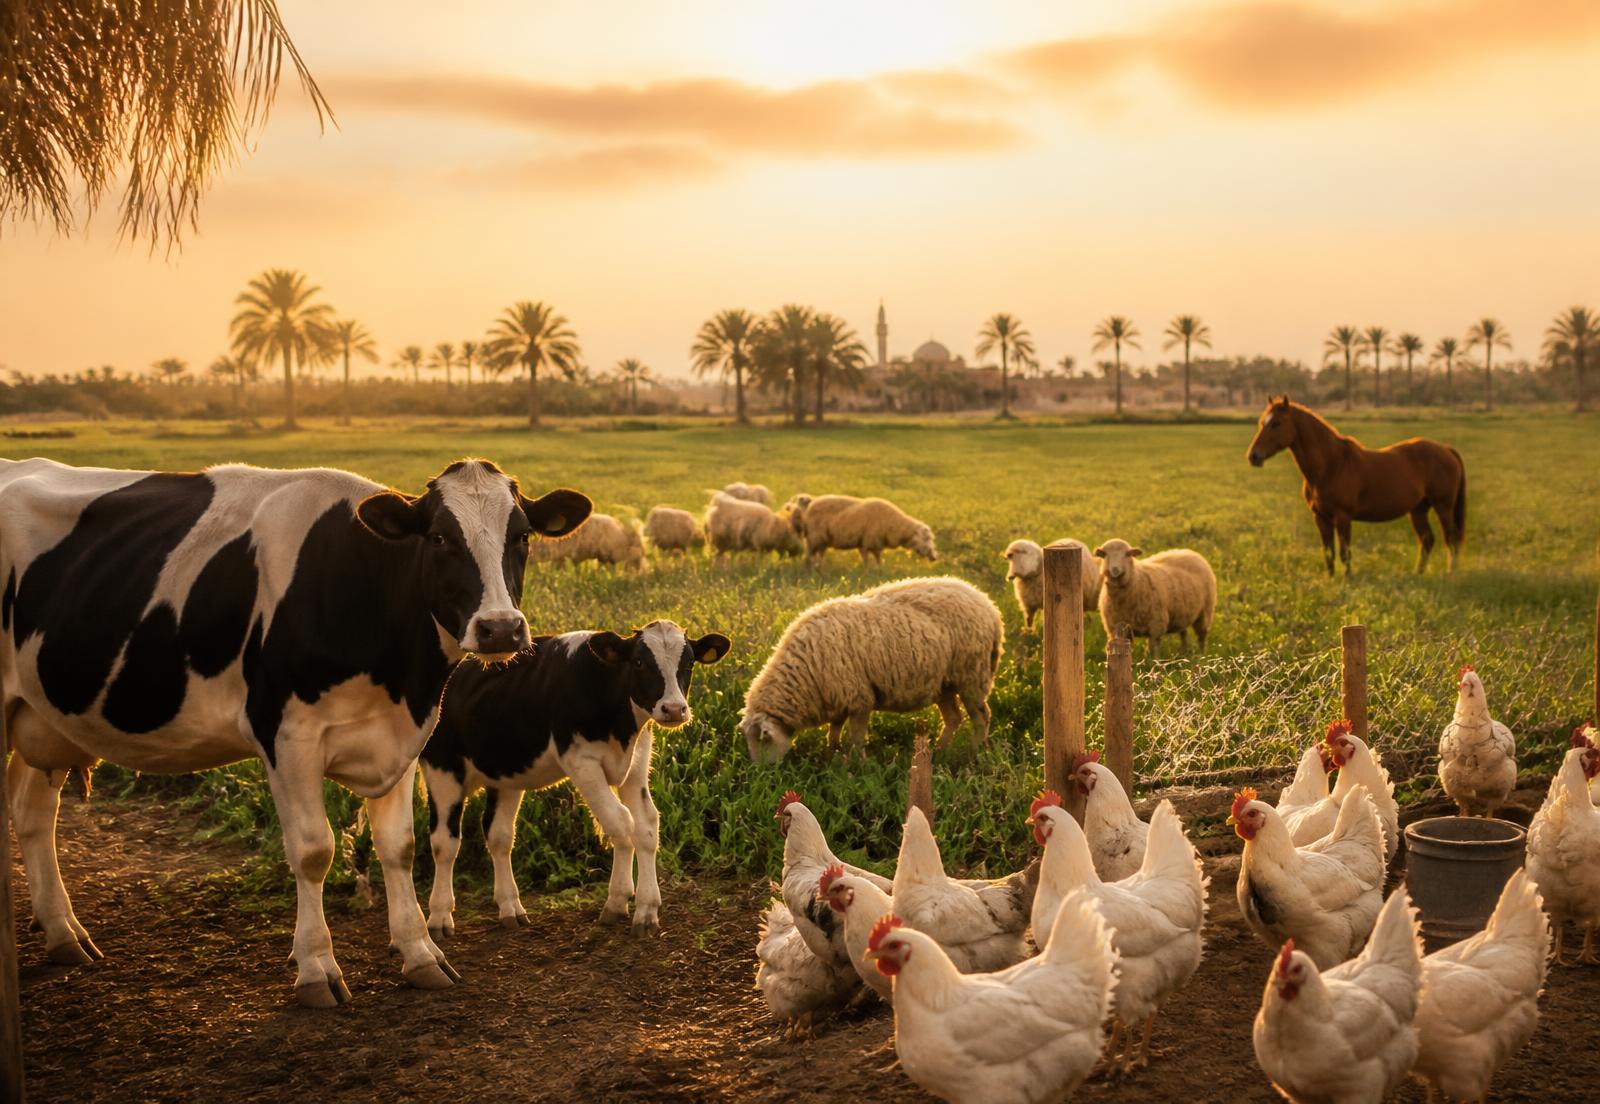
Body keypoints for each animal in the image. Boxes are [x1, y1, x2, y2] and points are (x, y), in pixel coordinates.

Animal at [0, 456, 590, 1007]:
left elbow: (398, 846)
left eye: (522, 536)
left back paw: (64, 934)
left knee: (33, 816)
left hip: (40, 718)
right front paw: (316, 970)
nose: (500, 629)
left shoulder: (400, 734)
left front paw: (420, 954)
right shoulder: (285, 736)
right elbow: (312, 851)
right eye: (441, 537)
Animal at [421, 620, 730, 937]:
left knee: (499, 835)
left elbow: (645, 826)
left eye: (689, 662)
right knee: (444, 843)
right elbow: (620, 822)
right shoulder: (582, 762)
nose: (674, 708)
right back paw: (439, 917)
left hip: (505, 774)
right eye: (639, 662)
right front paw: (618, 901)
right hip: (441, 768)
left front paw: (646, 909)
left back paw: (510, 908)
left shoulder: (636, 764)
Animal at [740, 576, 1003, 763]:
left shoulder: (859, 698)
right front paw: (831, 754)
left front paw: (859, 766)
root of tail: (989, 606)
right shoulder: (838, 696)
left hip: (973, 676)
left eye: (763, 739)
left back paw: (975, 751)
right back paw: (939, 751)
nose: (762, 773)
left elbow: (856, 739)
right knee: (954, 718)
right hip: (944, 684)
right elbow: (834, 729)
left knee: (982, 716)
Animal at [782, 493, 937, 564]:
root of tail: (809, 503)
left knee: (817, 555)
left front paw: (878, 569)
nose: (935, 557)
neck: (897, 526)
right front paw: (869, 571)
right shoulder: (869, 541)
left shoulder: (870, 542)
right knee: (809, 556)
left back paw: (819, 568)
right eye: (926, 538)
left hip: (820, 540)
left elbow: (876, 557)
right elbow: (868, 559)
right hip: (814, 537)